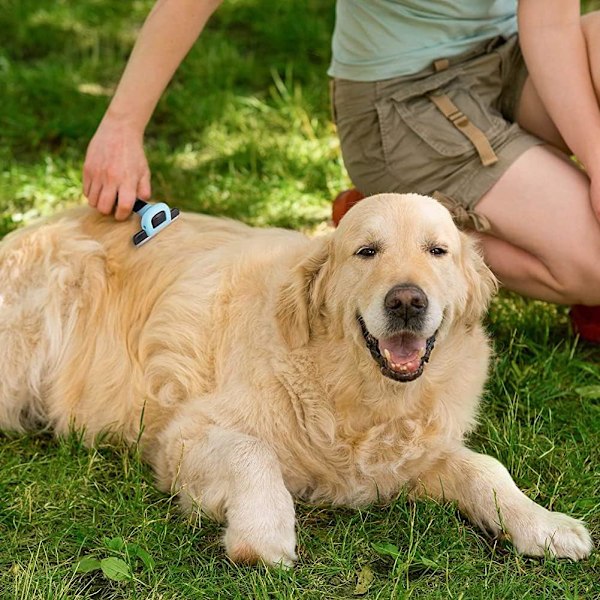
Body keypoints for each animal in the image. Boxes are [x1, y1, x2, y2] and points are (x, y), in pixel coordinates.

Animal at [0, 195, 592, 564]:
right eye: (366, 251)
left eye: (437, 250)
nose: (406, 301)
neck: (357, 392)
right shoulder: (182, 434)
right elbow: (252, 452)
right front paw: (262, 533)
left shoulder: (413, 456)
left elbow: (487, 469)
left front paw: (545, 524)